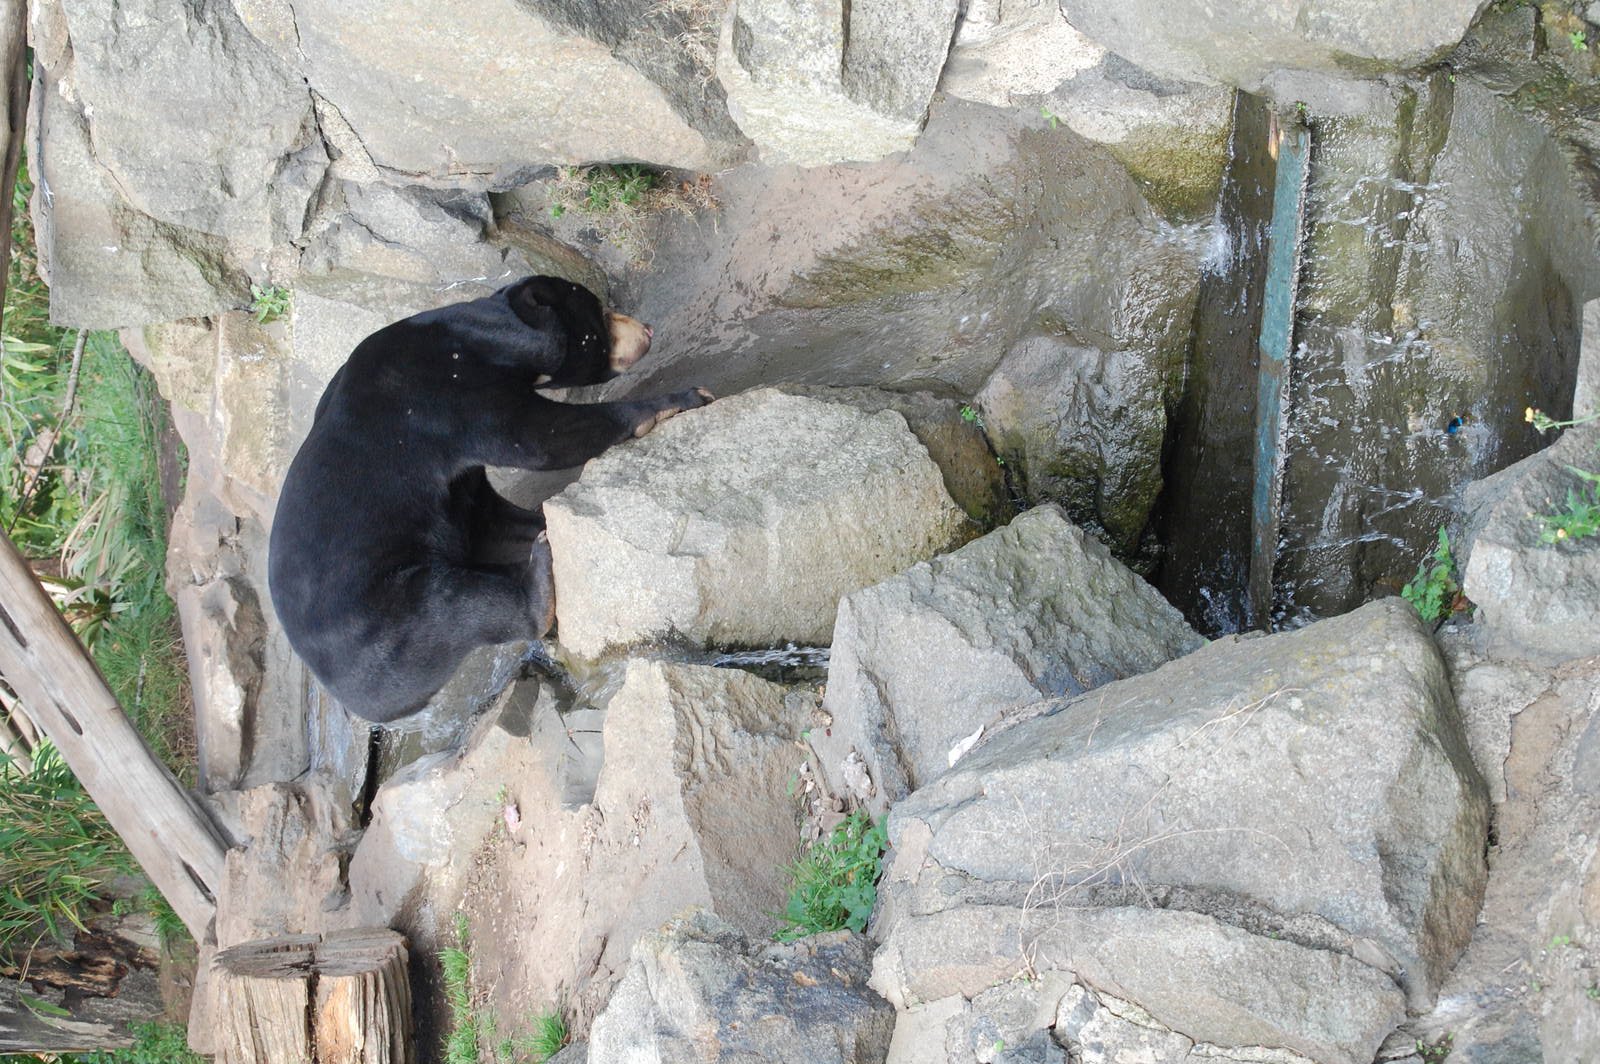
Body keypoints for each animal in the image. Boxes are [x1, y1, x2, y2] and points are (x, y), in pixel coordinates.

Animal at [267, 275, 711, 723]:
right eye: (600, 313)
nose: (648, 329)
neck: (486, 336)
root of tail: (358, 703)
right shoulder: (447, 394)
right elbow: (541, 436)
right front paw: (686, 397)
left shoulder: (461, 484)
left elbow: (489, 521)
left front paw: (543, 524)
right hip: (388, 621)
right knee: (456, 608)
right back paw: (539, 575)